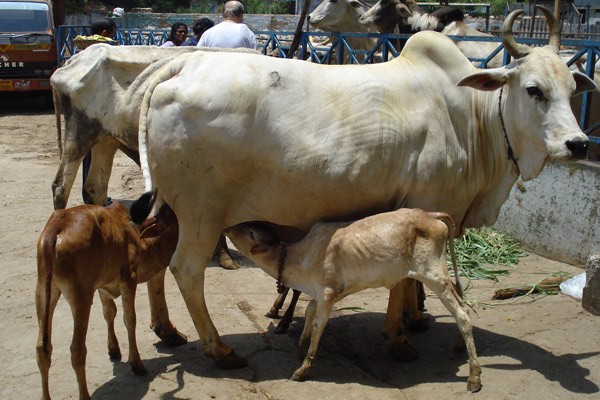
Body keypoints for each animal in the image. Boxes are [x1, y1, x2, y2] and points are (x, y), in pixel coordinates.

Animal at [35, 202, 178, 400]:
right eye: (175, 221)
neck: (138, 239)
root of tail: (56, 228)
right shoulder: (129, 278)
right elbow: (130, 320)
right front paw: (137, 364)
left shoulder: (103, 285)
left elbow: (109, 313)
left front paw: (114, 349)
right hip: (80, 297)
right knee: (77, 350)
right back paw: (85, 395)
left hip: (44, 292)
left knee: (42, 349)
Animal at [131, 7, 596, 380]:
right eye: (534, 90)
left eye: (573, 90)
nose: (577, 144)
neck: (471, 119)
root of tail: (183, 66)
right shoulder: (423, 207)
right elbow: (402, 280)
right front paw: (398, 337)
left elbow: (407, 281)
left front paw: (413, 319)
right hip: (202, 213)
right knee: (187, 271)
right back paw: (219, 349)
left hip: (175, 209)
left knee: (159, 263)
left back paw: (168, 332)